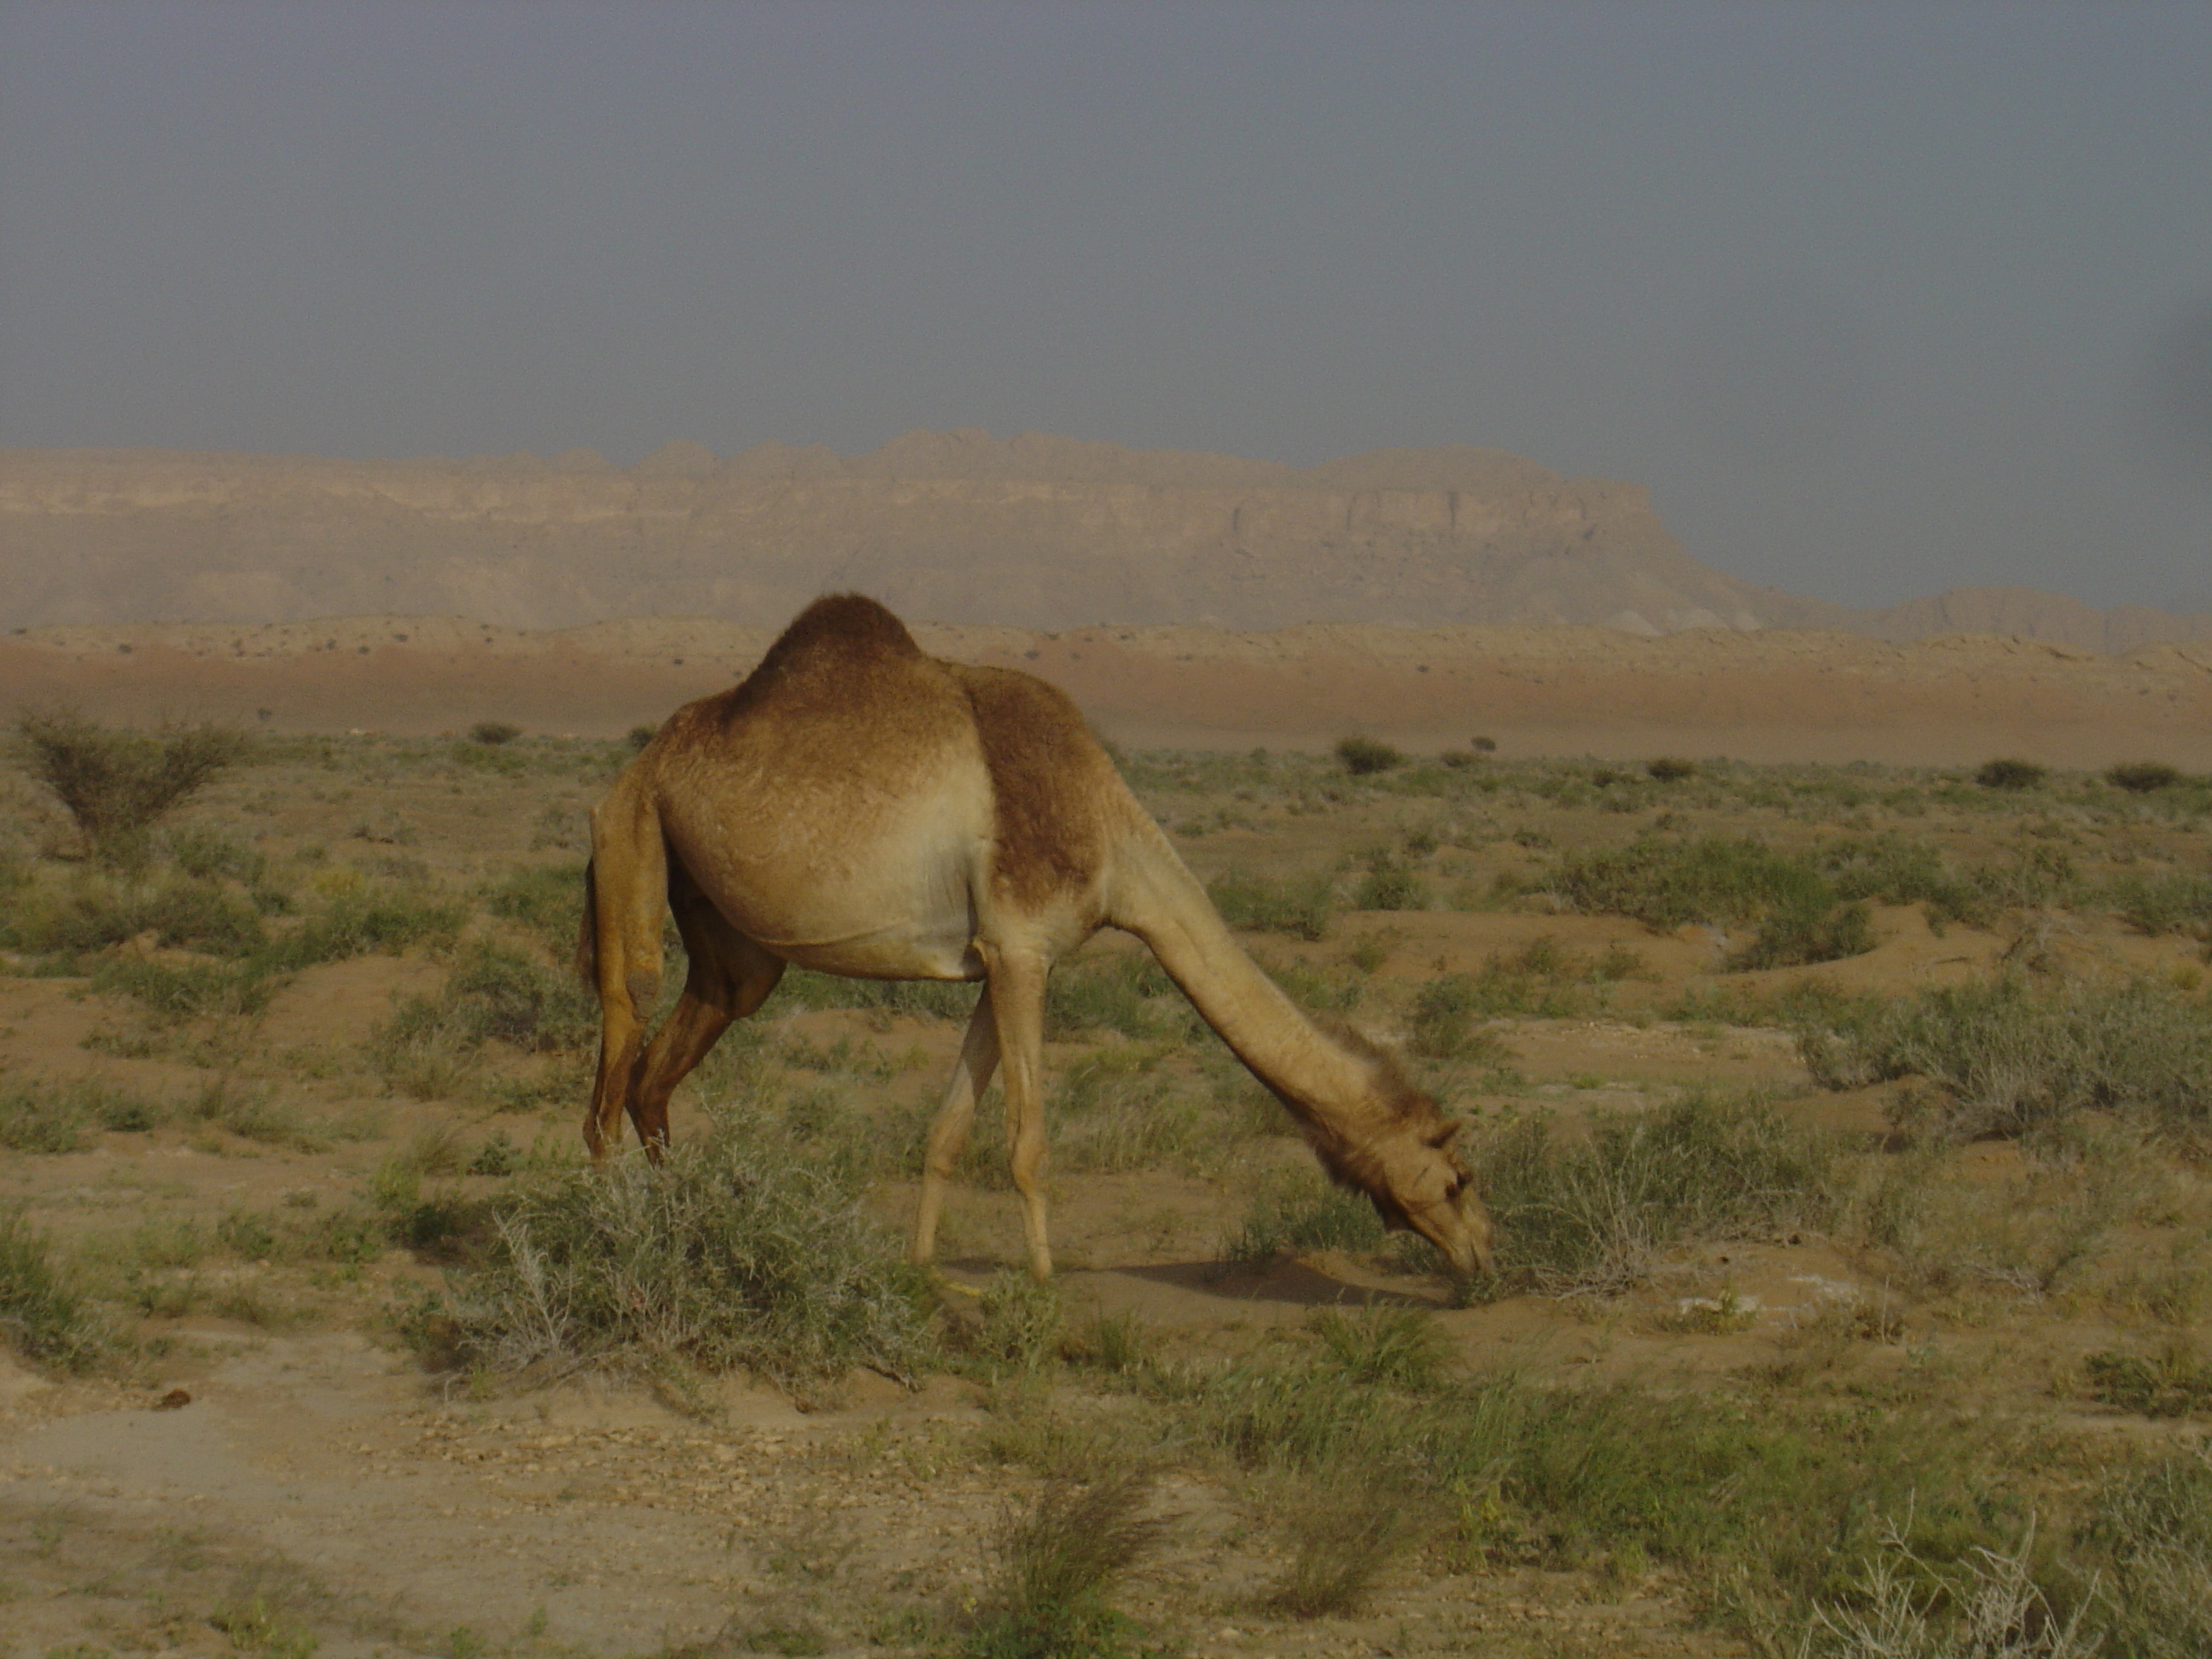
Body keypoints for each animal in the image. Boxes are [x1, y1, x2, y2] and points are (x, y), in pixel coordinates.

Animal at [579, 597, 1495, 1283]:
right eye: (1456, 1179)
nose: (1487, 1254)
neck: (1111, 839)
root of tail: (644, 761)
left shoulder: (999, 962)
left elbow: (948, 1132)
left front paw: (922, 1268)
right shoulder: (1024, 950)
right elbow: (1030, 1143)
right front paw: (1045, 1285)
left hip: (732, 939)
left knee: (667, 1064)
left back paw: (683, 1224)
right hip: (635, 835)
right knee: (620, 1044)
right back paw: (611, 1235)